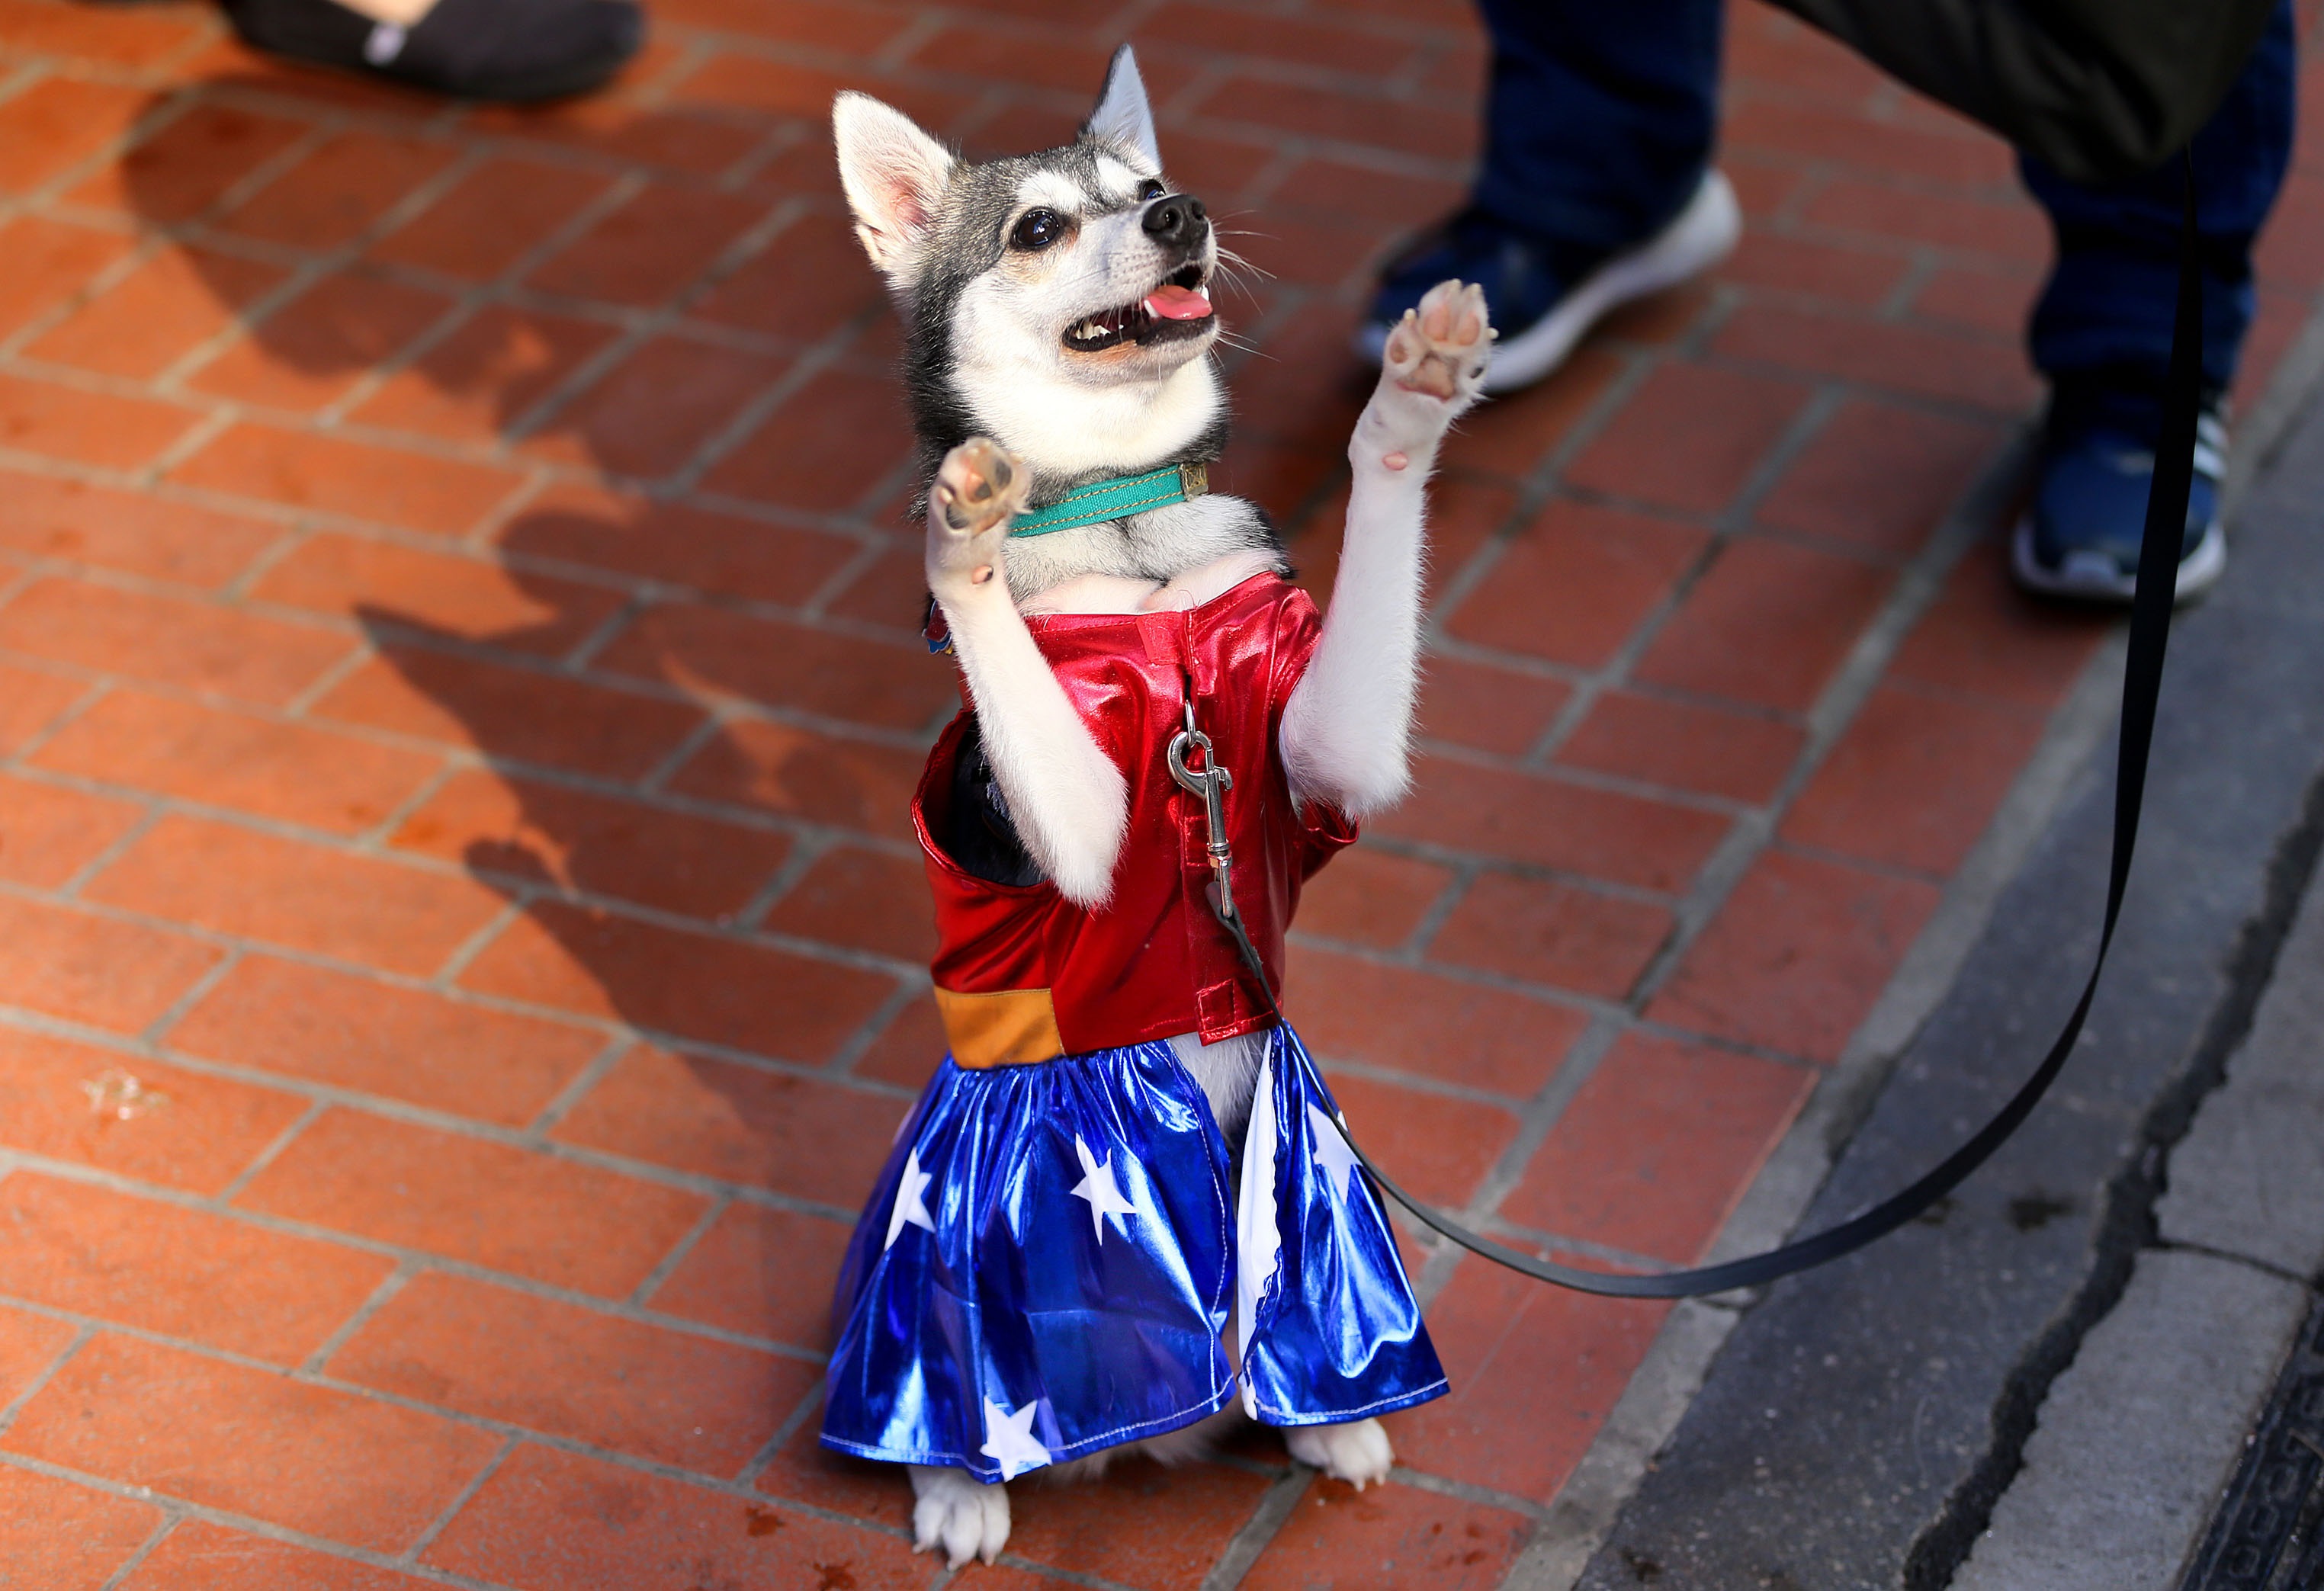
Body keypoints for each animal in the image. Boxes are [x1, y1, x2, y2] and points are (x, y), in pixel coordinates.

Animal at [817, 43, 1496, 1570]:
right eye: (1036, 229)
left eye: (1148, 188)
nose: (1181, 215)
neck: (1122, 523)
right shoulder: (1060, 825)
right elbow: (991, 619)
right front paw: (963, 532)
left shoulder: (1324, 747)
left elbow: (1379, 507)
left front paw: (1412, 398)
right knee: (934, 1382)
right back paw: (956, 1479)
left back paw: (1324, 1417)